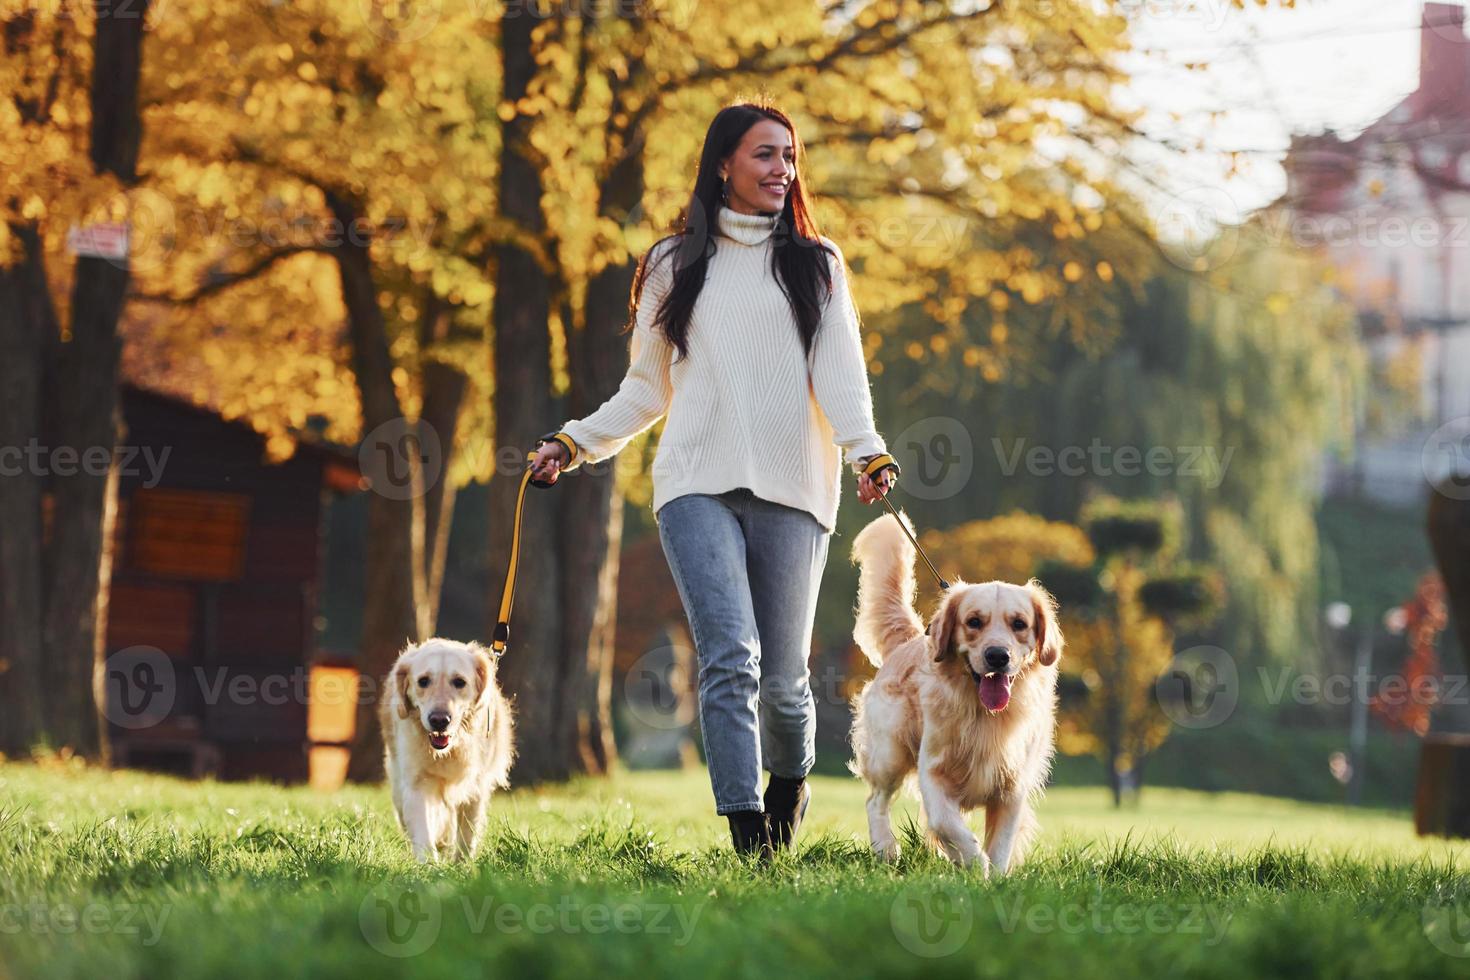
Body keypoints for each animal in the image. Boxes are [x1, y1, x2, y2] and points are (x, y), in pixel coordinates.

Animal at [379, 640, 517, 863]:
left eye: (459, 682)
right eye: (423, 681)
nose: (439, 720)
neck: (448, 751)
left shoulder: (476, 787)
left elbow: (467, 836)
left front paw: (463, 865)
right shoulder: (416, 784)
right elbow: (424, 833)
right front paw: (429, 866)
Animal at [846, 514, 1064, 875]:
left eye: (1019, 624)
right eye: (973, 621)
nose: (997, 656)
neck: (983, 715)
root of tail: (910, 639)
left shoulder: (1011, 787)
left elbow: (1000, 844)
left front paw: (994, 876)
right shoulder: (933, 772)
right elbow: (948, 825)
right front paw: (974, 865)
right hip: (890, 752)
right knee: (875, 799)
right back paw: (886, 848)